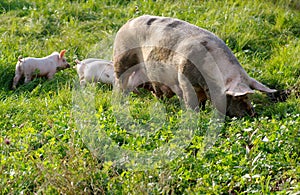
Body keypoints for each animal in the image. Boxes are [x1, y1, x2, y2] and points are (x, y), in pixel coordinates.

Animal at [114, 15, 276, 117]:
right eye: (239, 98)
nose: (253, 114)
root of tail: (127, 22)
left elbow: (202, 100)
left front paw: (203, 110)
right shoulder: (184, 78)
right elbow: (190, 100)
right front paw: (194, 115)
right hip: (121, 56)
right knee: (119, 80)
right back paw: (118, 99)